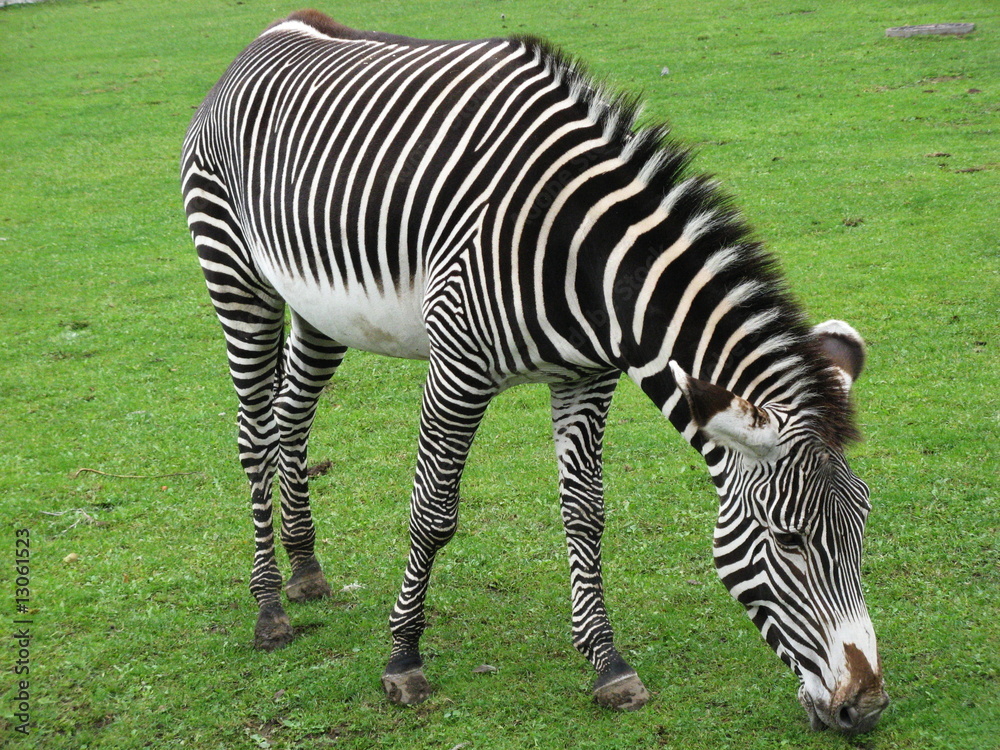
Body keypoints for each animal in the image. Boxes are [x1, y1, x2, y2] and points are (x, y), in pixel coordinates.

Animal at [181, 10, 889, 733]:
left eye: (863, 524)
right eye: (789, 540)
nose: (866, 707)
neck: (585, 259)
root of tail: (277, 29)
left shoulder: (586, 376)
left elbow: (585, 512)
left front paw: (608, 663)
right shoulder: (458, 365)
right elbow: (432, 514)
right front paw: (403, 659)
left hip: (320, 309)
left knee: (291, 419)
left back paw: (304, 567)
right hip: (234, 272)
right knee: (254, 434)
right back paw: (270, 607)